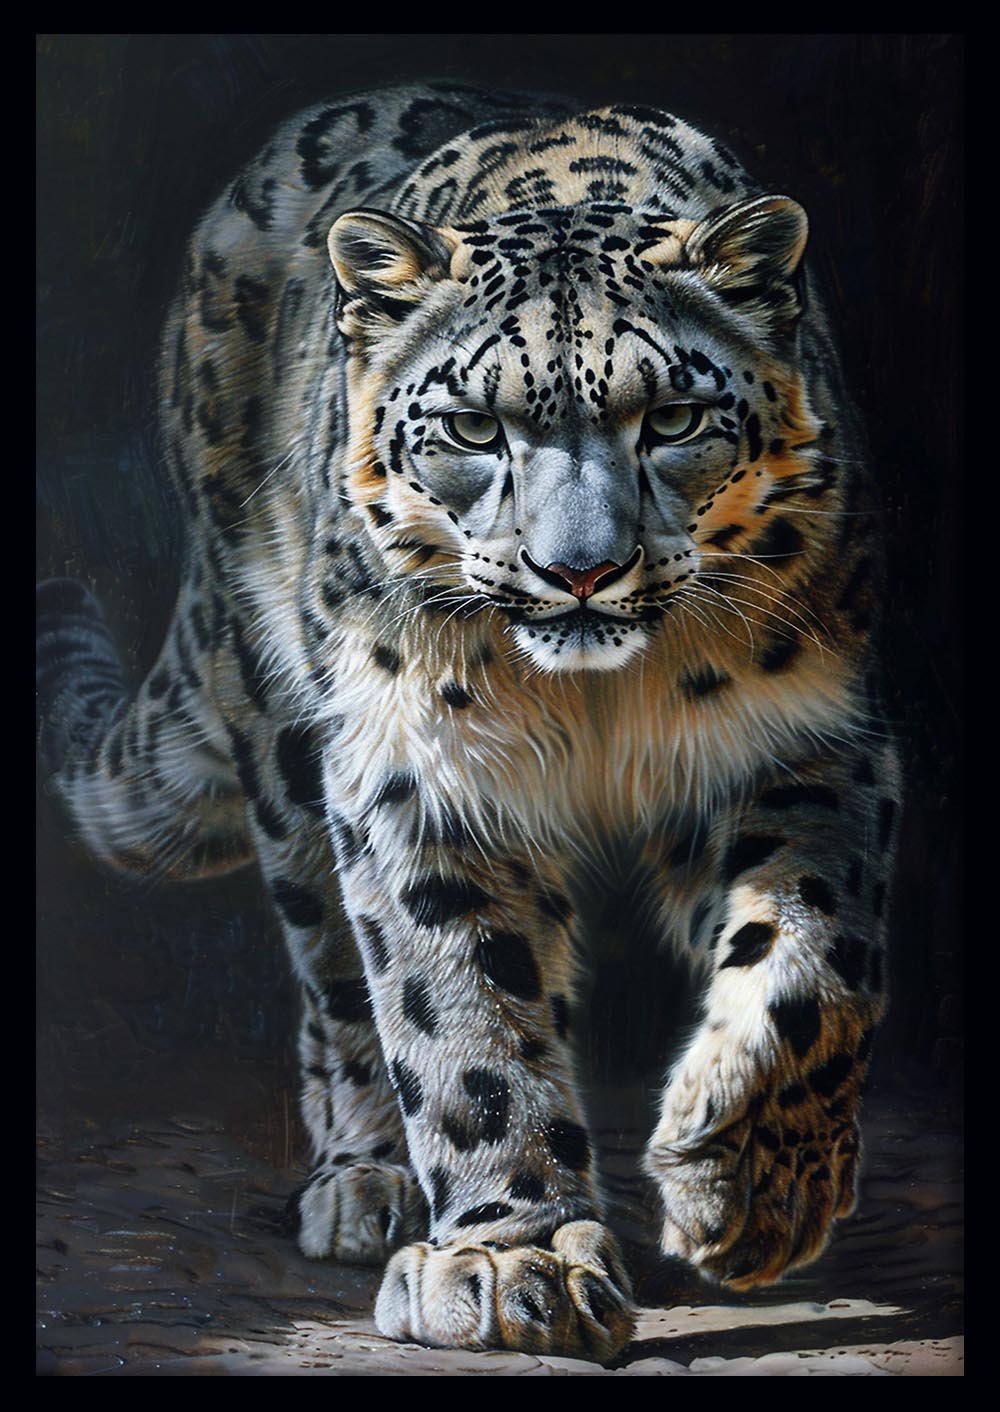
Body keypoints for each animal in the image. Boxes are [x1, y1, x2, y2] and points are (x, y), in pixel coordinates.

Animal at [36, 81, 900, 1362]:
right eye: (472, 430)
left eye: (674, 417)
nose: (579, 569)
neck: (597, 696)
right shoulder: (423, 771)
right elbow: (459, 1007)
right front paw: (510, 1260)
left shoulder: (804, 738)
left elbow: (813, 958)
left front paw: (748, 1187)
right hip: (291, 737)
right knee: (335, 970)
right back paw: (366, 1179)